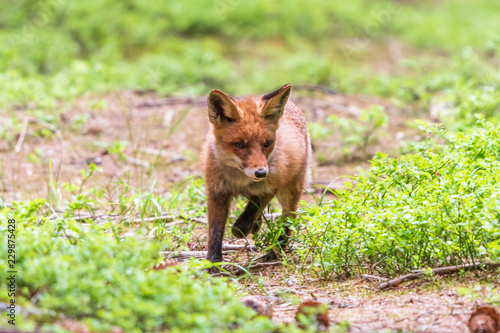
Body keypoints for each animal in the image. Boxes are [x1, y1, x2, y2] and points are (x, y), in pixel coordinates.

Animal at [203, 83, 312, 264]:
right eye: (239, 144)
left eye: (267, 143)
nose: (261, 172)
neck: (240, 180)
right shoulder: (217, 192)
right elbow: (215, 232)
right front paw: (213, 262)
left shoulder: (270, 187)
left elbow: (248, 216)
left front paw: (241, 229)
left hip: (290, 190)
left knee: (289, 219)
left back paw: (277, 250)